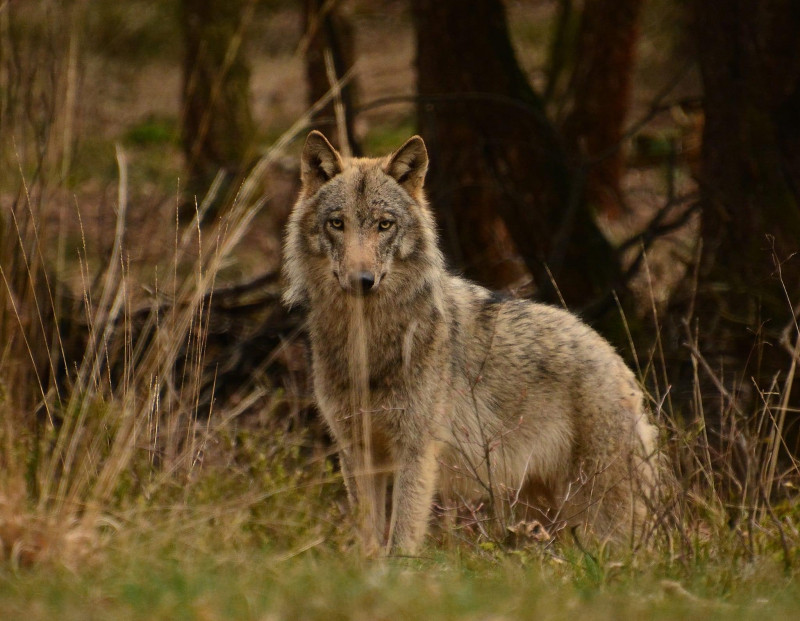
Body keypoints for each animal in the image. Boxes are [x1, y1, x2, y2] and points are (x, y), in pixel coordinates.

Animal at [282, 130, 664, 552]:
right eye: (337, 223)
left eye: (384, 225)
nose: (361, 281)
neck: (368, 344)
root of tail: (618, 360)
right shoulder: (358, 453)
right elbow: (369, 543)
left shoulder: (416, 452)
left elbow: (401, 542)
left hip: (603, 519)